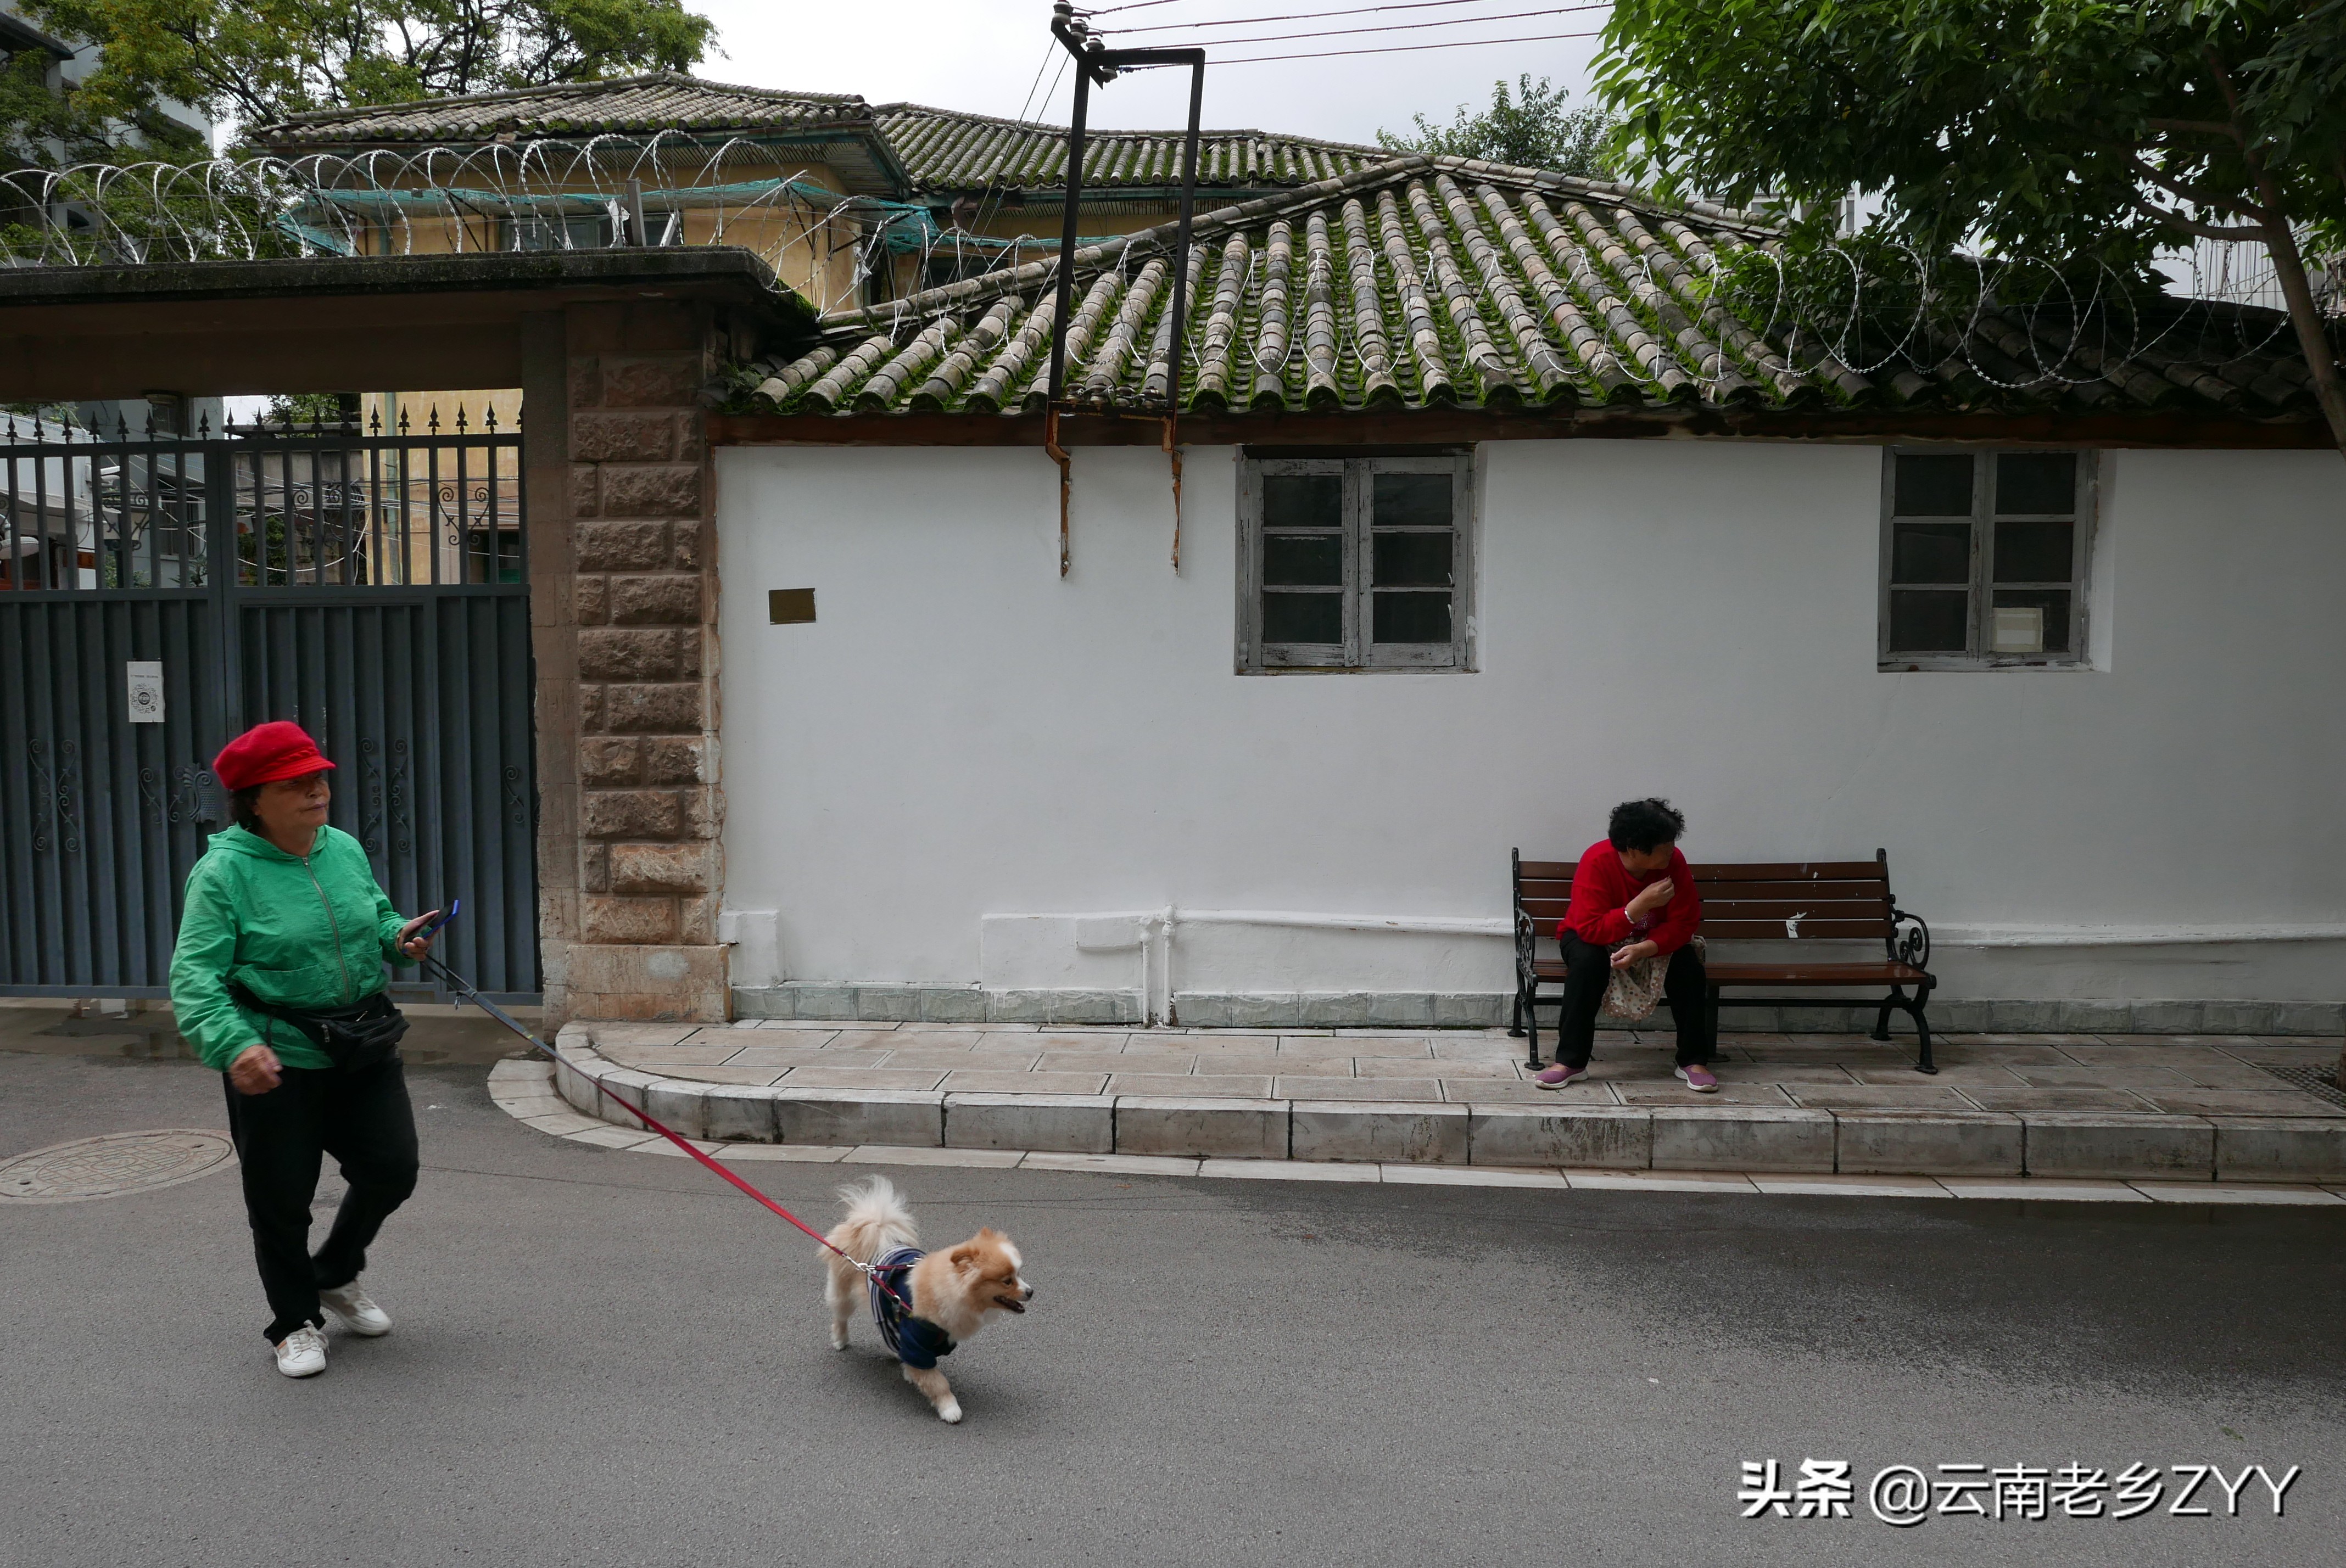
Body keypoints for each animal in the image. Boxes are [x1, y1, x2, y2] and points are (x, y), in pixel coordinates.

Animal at [830, 1172, 1041, 1415]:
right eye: (1007, 1281)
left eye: (1019, 1274)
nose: (1031, 1292)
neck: (949, 1292)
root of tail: (876, 1231)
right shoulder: (918, 1343)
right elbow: (936, 1381)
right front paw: (949, 1409)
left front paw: (908, 1370)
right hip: (843, 1293)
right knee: (841, 1316)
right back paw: (840, 1340)